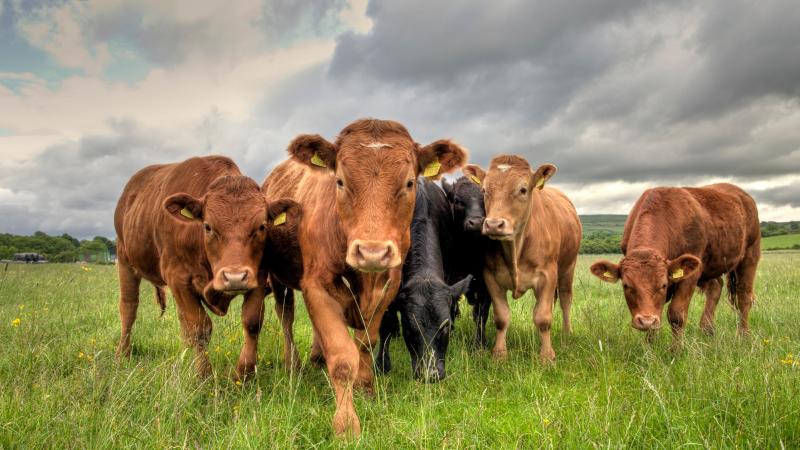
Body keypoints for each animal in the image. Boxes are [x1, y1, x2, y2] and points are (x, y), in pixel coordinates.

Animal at [114, 155, 300, 380]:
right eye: (208, 227)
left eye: (262, 226)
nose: (235, 277)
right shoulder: (179, 278)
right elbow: (199, 329)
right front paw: (204, 375)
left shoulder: (258, 276)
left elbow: (252, 322)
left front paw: (243, 374)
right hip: (125, 259)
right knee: (129, 308)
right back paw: (123, 354)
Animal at [442, 174, 493, 348]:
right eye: (458, 200)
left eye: (486, 198)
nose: (476, 223)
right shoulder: (449, 279)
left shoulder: (486, 284)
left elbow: (481, 315)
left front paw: (480, 344)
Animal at [466, 155, 582, 363]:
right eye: (484, 190)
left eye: (523, 189)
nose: (494, 224)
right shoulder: (491, 277)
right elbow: (501, 317)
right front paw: (499, 354)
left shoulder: (548, 275)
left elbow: (543, 317)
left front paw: (547, 356)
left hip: (568, 267)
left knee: (565, 299)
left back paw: (567, 333)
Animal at [589, 183, 760, 347]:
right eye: (626, 285)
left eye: (663, 285)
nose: (646, 321)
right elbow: (657, 312)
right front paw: (650, 347)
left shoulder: (690, 275)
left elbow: (676, 314)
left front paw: (675, 350)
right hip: (711, 265)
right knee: (716, 286)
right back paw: (707, 330)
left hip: (750, 255)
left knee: (744, 297)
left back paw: (744, 336)